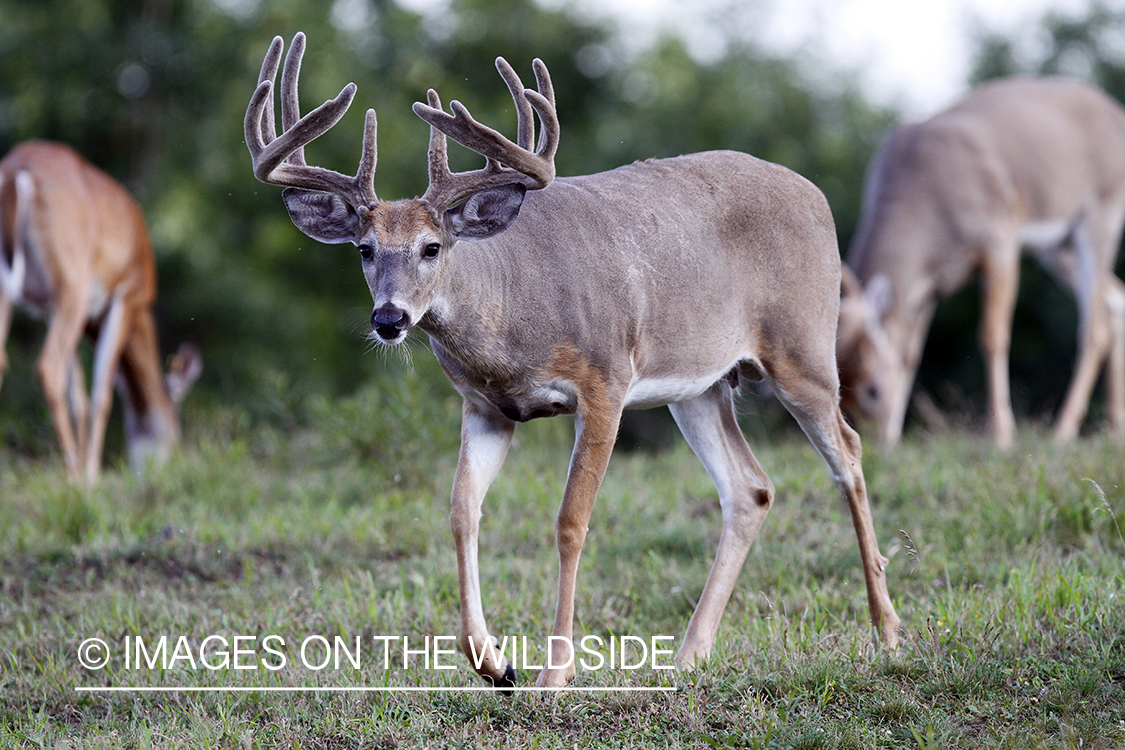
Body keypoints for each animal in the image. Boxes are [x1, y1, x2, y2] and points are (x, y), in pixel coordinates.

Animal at [0, 141, 200, 488]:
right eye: (174, 431)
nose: (166, 467)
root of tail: (16, 170)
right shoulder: (126, 297)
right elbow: (101, 395)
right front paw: (89, 477)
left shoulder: (52, 309)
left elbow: (78, 396)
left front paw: (84, 470)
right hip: (73, 282)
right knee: (48, 368)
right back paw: (70, 474)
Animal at [250, 33, 900, 692]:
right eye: (364, 249)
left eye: (432, 247)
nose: (389, 318)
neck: (512, 321)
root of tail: (817, 196)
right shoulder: (485, 407)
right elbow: (462, 512)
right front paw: (494, 662)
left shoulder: (605, 381)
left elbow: (570, 521)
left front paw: (554, 671)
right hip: (700, 387)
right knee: (751, 488)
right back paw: (689, 654)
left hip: (802, 349)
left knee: (848, 453)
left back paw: (887, 631)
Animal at [841, 79, 1125, 449]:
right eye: (842, 392)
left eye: (872, 389)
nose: (869, 440)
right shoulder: (930, 284)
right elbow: (910, 353)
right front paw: (893, 439)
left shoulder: (999, 241)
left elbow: (992, 336)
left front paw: (1002, 435)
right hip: (1057, 249)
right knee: (1115, 298)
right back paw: (1115, 430)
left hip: (1100, 217)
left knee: (1095, 325)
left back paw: (1061, 433)